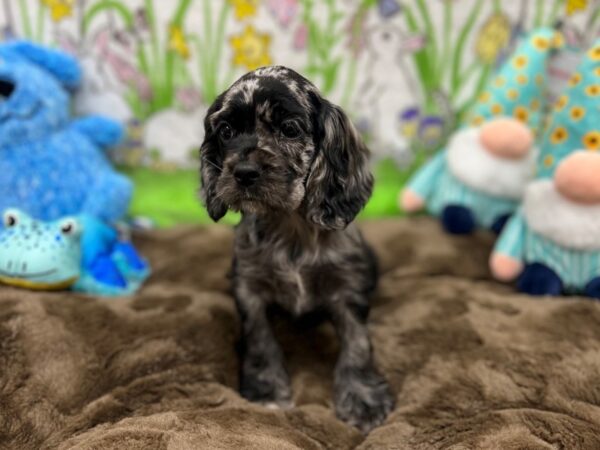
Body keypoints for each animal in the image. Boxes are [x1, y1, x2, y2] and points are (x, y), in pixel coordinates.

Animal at [200, 67, 394, 432]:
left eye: (289, 129)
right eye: (226, 131)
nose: (244, 173)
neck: (291, 229)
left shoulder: (348, 289)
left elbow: (357, 345)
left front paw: (362, 399)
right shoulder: (249, 287)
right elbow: (261, 339)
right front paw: (267, 390)